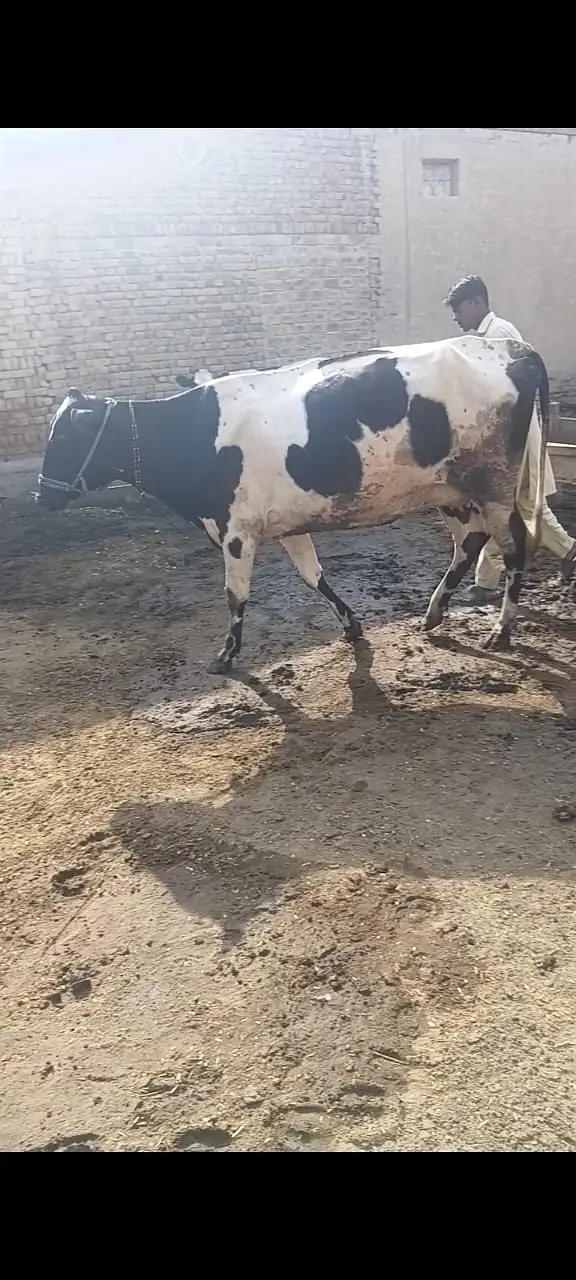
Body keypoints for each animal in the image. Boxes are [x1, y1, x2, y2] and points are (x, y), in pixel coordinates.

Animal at [36, 337, 549, 675]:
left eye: (61, 439)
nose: (42, 495)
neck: (194, 433)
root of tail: (506, 347)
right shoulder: (286, 525)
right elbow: (313, 575)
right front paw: (352, 626)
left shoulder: (236, 530)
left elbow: (235, 594)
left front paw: (225, 655)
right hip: (451, 492)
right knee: (470, 542)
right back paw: (434, 612)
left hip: (493, 486)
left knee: (515, 547)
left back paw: (501, 630)